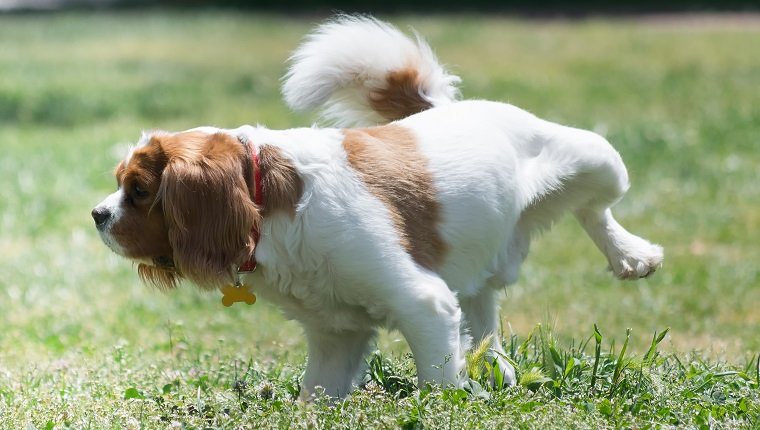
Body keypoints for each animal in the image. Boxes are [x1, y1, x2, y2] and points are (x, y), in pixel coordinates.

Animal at [89, 16, 664, 400]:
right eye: (121, 186)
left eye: (138, 190)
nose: (97, 215)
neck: (270, 207)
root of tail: (449, 108)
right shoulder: (335, 338)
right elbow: (316, 397)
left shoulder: (424, 304)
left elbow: (437, 386)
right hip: (479, 269)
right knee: (485, 319)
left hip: (596, 157)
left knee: (596, 207)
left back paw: (631, 255)